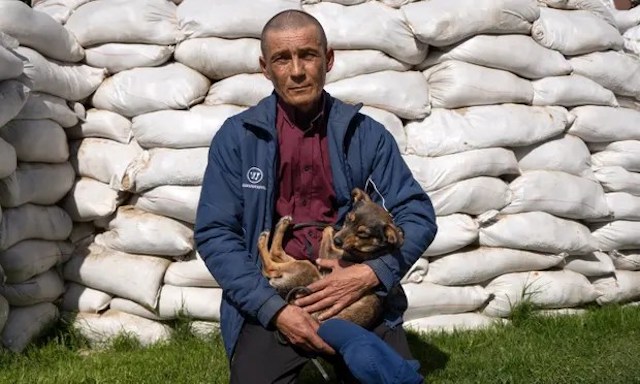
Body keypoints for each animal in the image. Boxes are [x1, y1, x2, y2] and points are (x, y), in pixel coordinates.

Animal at [256, 188, 402, 328]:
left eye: (363, 233)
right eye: (349, 218)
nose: (337, 241)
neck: (371, 248)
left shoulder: (329, 254)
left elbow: (327, 227)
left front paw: (330, 230)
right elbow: (329, 228)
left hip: (307, 268)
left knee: (270, 265)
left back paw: (265, 238)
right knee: (276, 255)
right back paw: (282, 225)